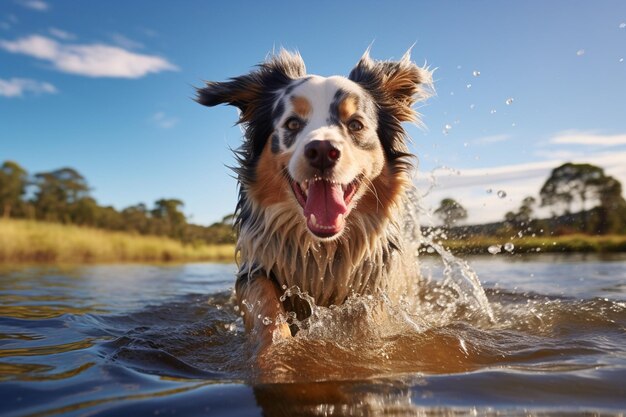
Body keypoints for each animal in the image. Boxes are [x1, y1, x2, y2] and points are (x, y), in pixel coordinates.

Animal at [197, 49, 432, 352]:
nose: (322, 150)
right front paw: (278, 350)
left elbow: (366, 320)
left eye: (356, 124)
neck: (321, 251)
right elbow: (266, 306)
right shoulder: (257, 267)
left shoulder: (375, 284)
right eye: (292, 123)